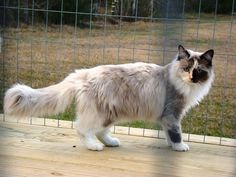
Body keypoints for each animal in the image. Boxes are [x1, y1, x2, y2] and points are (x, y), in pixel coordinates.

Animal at [3, 45, 214, 151]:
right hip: (100, 113)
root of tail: (83, 73)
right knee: (82, 128)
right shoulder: (172, 114)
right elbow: (176, 132)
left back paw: (111, 142)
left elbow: (169, 133)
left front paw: (171, 145)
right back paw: (94, 146)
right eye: (186, 68)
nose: (192, 78)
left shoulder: (166, 117)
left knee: (100, 131)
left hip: (111, 113)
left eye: (199, 71)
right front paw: (179, 146)